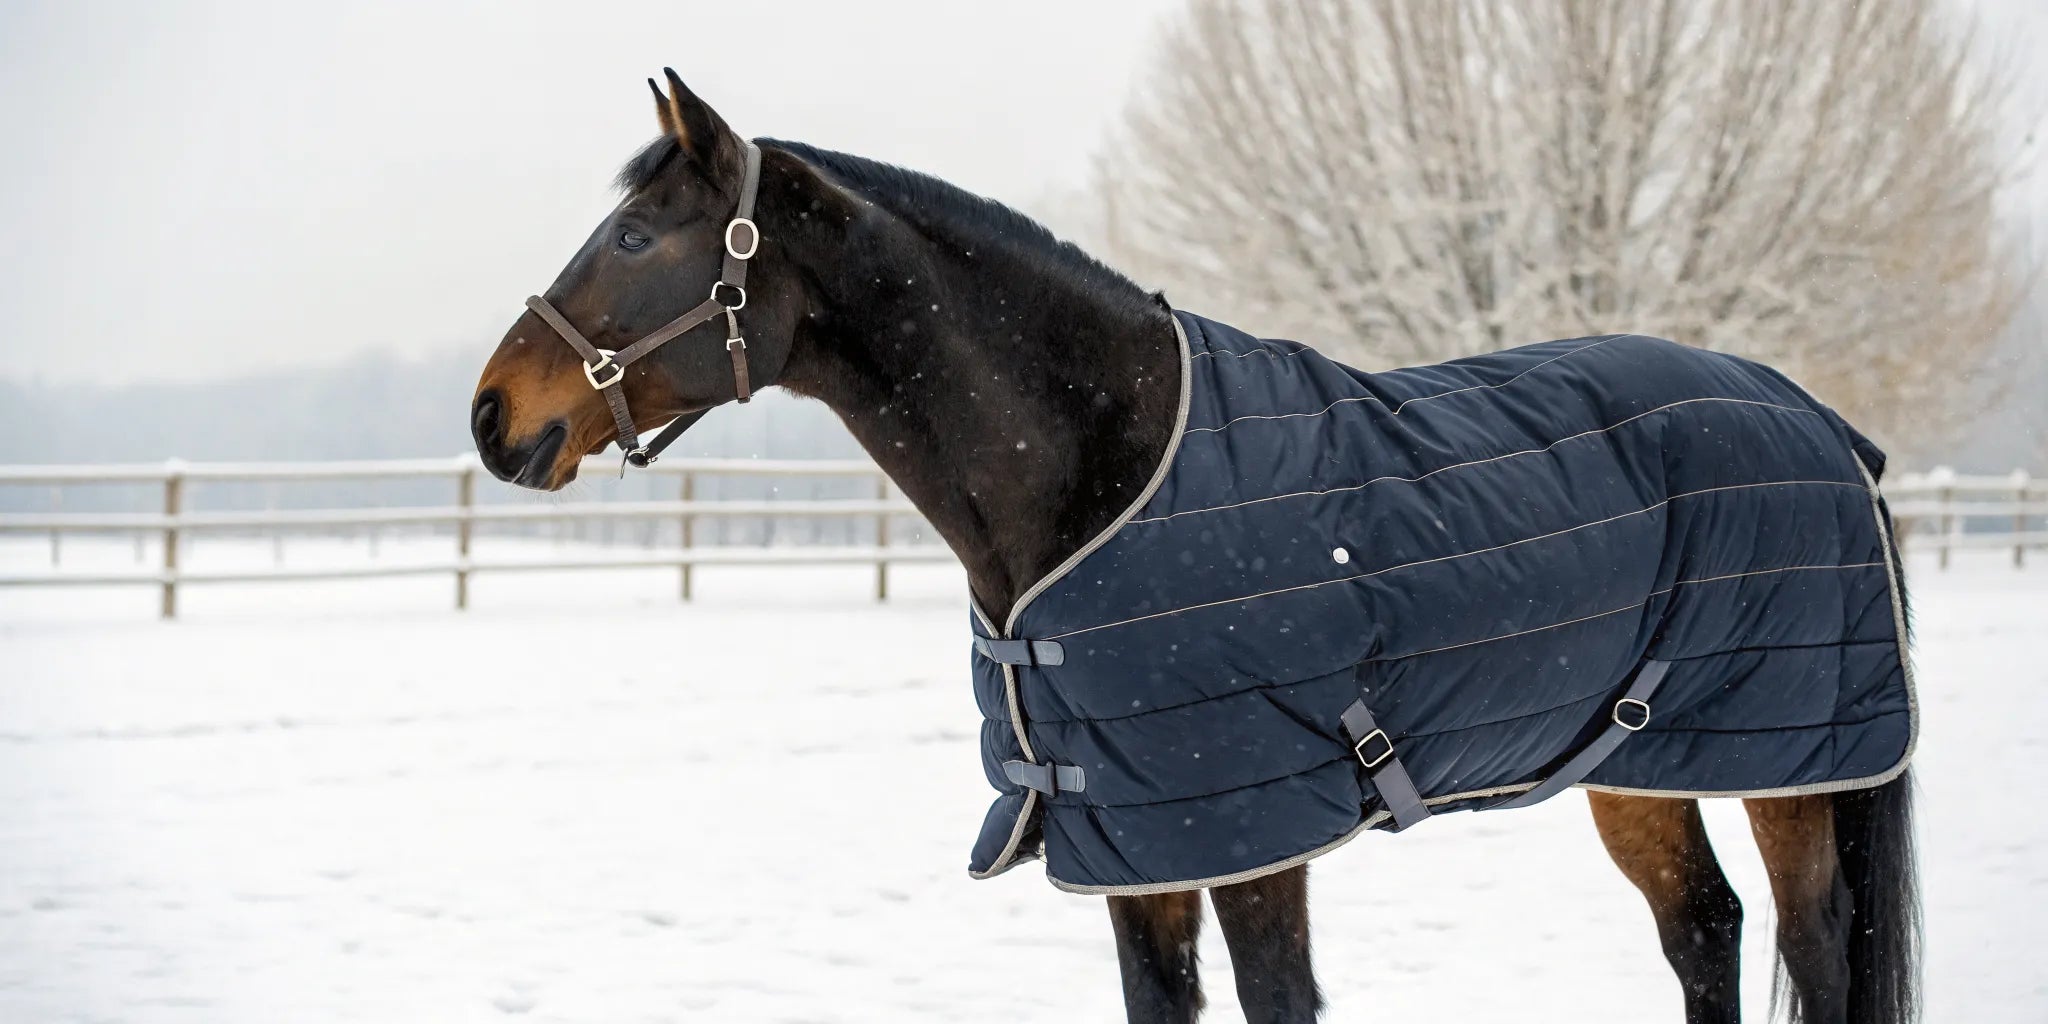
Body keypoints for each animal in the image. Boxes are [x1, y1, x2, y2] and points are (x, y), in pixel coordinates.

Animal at [468, 70, 1919, 1024]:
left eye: (634, 236)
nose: (492, 416)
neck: (1104, 476)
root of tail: (1816, 417)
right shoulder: (1138, 849)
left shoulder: (1248, 834)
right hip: (1637, 761)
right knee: (1704, 933)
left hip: (1794, 765)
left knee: (1814, 945)